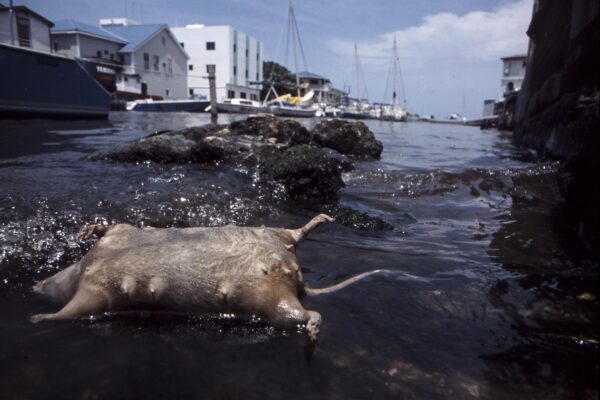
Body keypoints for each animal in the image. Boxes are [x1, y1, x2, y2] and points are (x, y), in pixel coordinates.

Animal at [30, 214, 380, 342]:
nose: (37, 284)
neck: (82, 269)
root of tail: (295, 276)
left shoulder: (99, 292)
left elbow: (75, 310)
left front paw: (41, 317)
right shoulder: (114, 242)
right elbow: (110, 229)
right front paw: (89, 230)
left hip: (270, 297)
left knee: (296, 312)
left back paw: (312, 326)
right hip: (272, 257)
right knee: (290, 235)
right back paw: (316, 223)